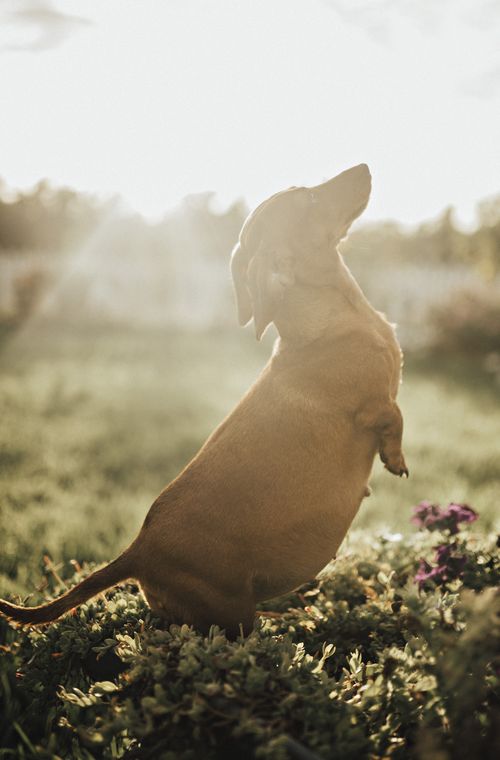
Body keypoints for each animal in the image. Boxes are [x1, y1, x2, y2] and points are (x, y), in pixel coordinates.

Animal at [0, 163, 406, 640]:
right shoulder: (375, 405)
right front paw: (395, 460)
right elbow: (395, 420)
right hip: (231, 613)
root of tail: (138, 550)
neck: (332, 322)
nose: (364, 167)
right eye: (308, 198)